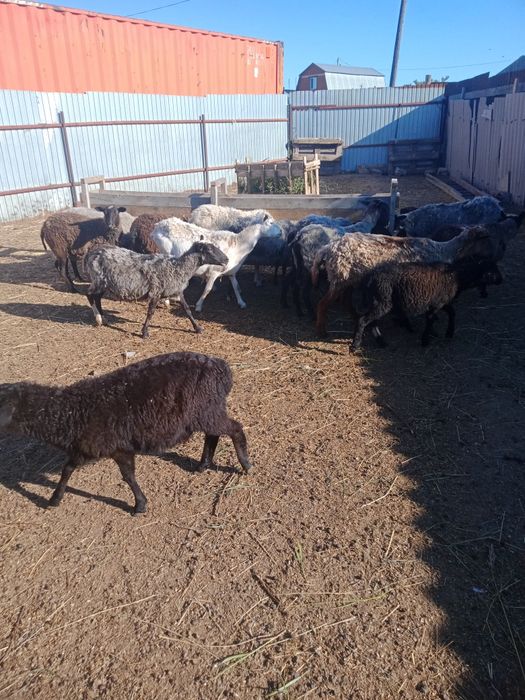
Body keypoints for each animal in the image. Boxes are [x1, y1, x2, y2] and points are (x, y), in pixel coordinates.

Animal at [0, 352, 252, 515]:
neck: (72, 412)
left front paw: (139, 505)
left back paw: (246, 464)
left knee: (235, 428)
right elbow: (67, 470)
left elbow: (128, 476)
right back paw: (203, 464)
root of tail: (222, 368)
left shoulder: (118, 447)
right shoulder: (87, 448)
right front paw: (54, 499)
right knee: (213, 434)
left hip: (207, 408)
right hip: (205, 411)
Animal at [84, 242, 228, 338]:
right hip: (98, 279)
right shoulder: (156, 291)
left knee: (97, 297)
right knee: (89, 294)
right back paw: (98, 318)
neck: (178, 267)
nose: (227, 259)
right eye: (209, 249)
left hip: (105, 283)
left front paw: (197, 328)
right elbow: (150, 313)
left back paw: (103, 318)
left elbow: (187, 310)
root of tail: (91, 253)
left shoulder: (177, 291)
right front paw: (145, 333)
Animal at [152, 217, 281, 311]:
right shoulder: (214, 272)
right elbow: (207, 289)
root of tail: (158, 226)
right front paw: (198, 306)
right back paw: (167, 300)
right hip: (165, 252)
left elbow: (236, 287)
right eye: (270, 223)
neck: (239, 245)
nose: (281, 232)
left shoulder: (231, 272)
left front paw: (242, 303)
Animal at [311, 220, 516, 337]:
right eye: (484, 238)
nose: (500, 252)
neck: (446, 250)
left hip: (348, 277)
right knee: (322, 303)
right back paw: (321, 331)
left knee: (345, 301)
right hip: (341, 277)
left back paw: (356, 319)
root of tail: (328, 248)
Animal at [351, 258, 503, 350]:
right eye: (491, 270)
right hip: (382, 300)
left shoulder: (442, 302)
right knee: (363, 319)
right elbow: (430, 321)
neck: (457, 276)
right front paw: (425, 340)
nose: (501, 280)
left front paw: (448, 333)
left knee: (372, 321)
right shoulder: (436, 304)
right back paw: (355, 345)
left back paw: (381, 342)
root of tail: (369, 278)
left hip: (380, 301)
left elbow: (451, 313)